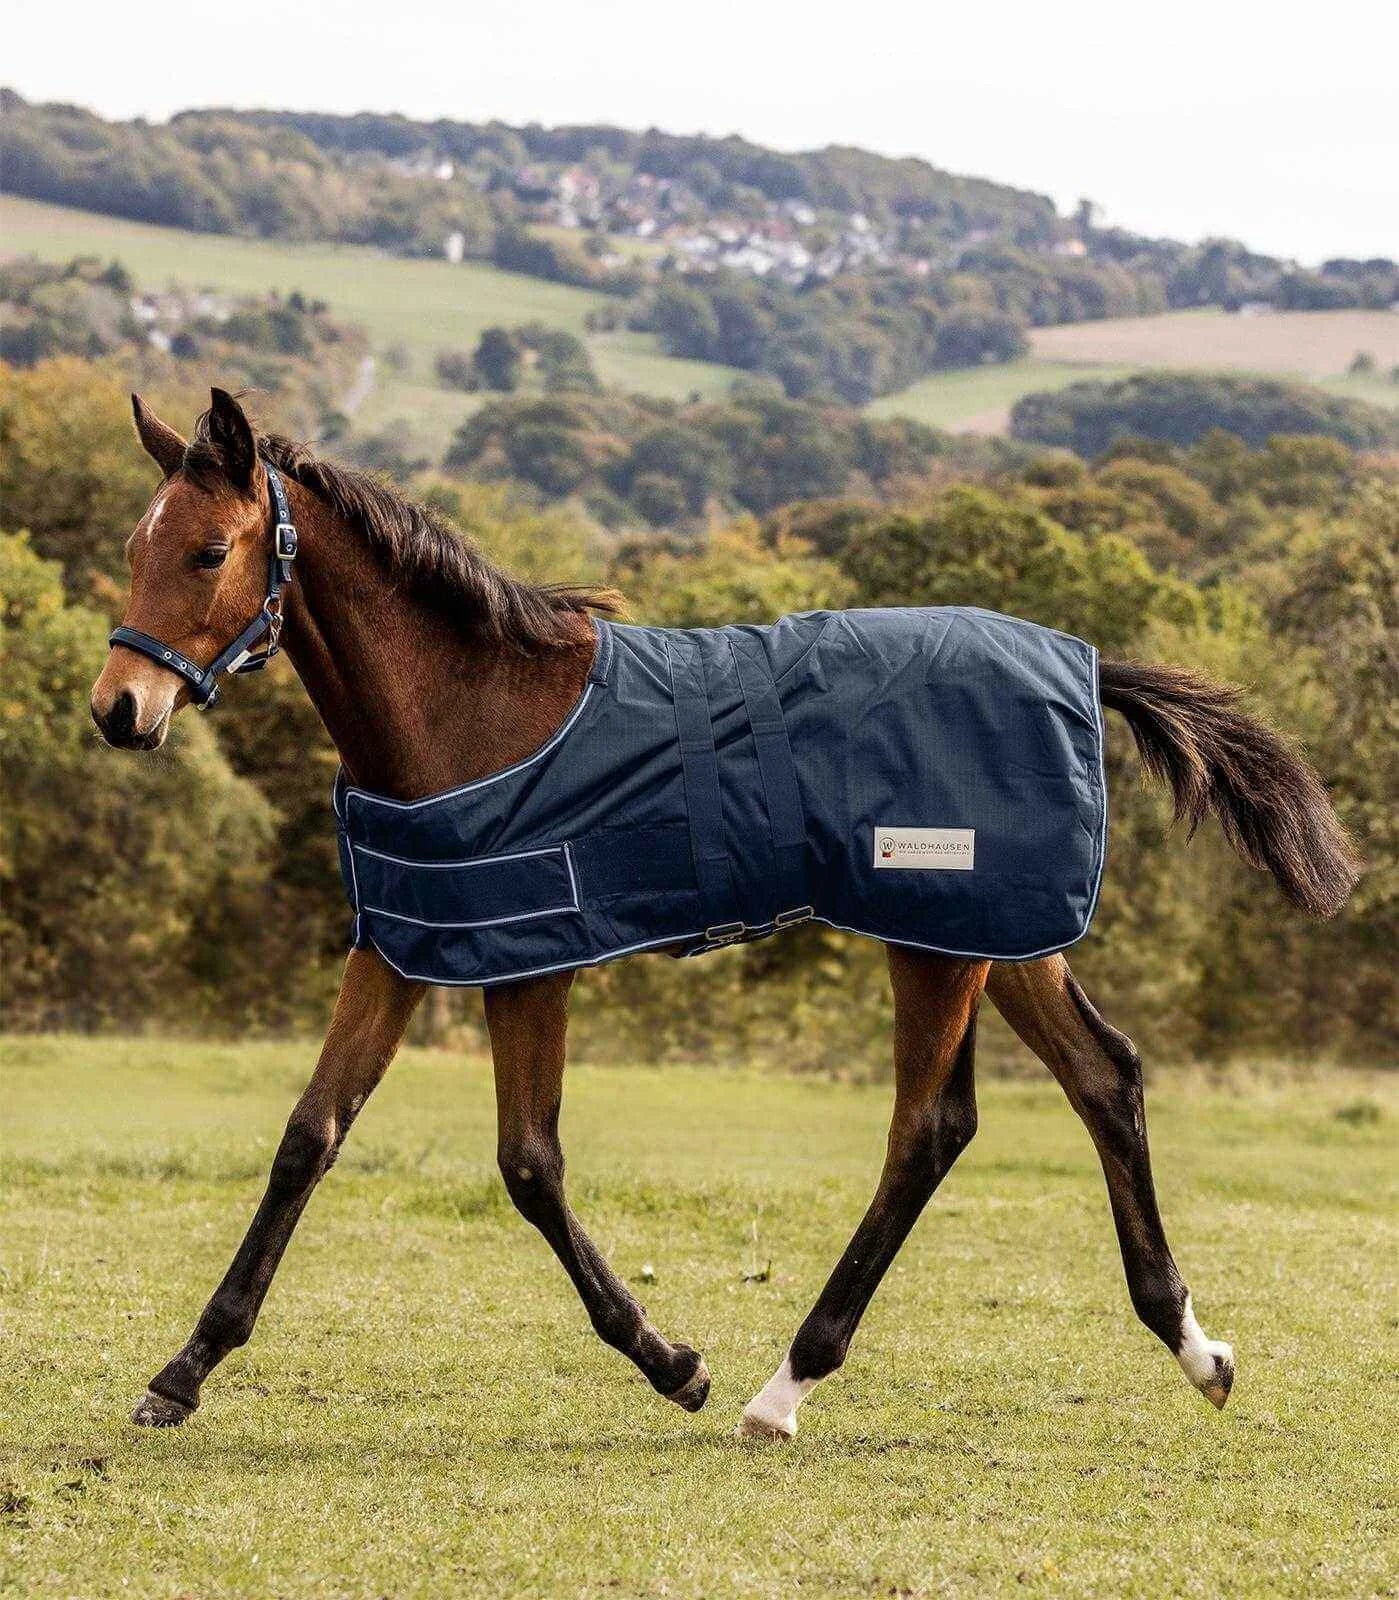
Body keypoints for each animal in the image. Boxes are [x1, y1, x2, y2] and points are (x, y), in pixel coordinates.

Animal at [89, 388, 1358, 1439]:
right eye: (135, 547)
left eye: (208, 549)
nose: (119, 708)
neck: (467, 712)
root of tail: (1084, 669)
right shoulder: (406, 947)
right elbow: (309, 1135)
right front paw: (183, 1370)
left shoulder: (529, 958)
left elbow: (528, 1164)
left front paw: (672, 1362)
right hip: (995, 937)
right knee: (1103, 1078)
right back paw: (1195, 1348)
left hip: (937, 946)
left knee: (928, 1129)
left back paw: (783, 1386)